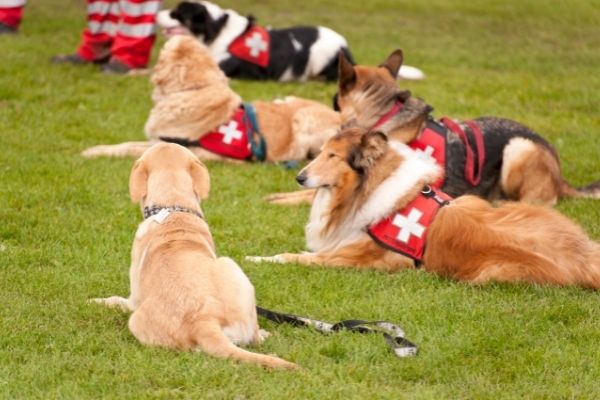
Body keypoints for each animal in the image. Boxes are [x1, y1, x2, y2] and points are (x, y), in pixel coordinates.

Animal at [248, 127, 600, 288]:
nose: (299, 177)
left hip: (492, 273)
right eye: (321, 152)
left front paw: (256, 258)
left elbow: (292, 257)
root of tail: (585, 258)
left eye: (332, 156)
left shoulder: (366, 259)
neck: (367, 188)